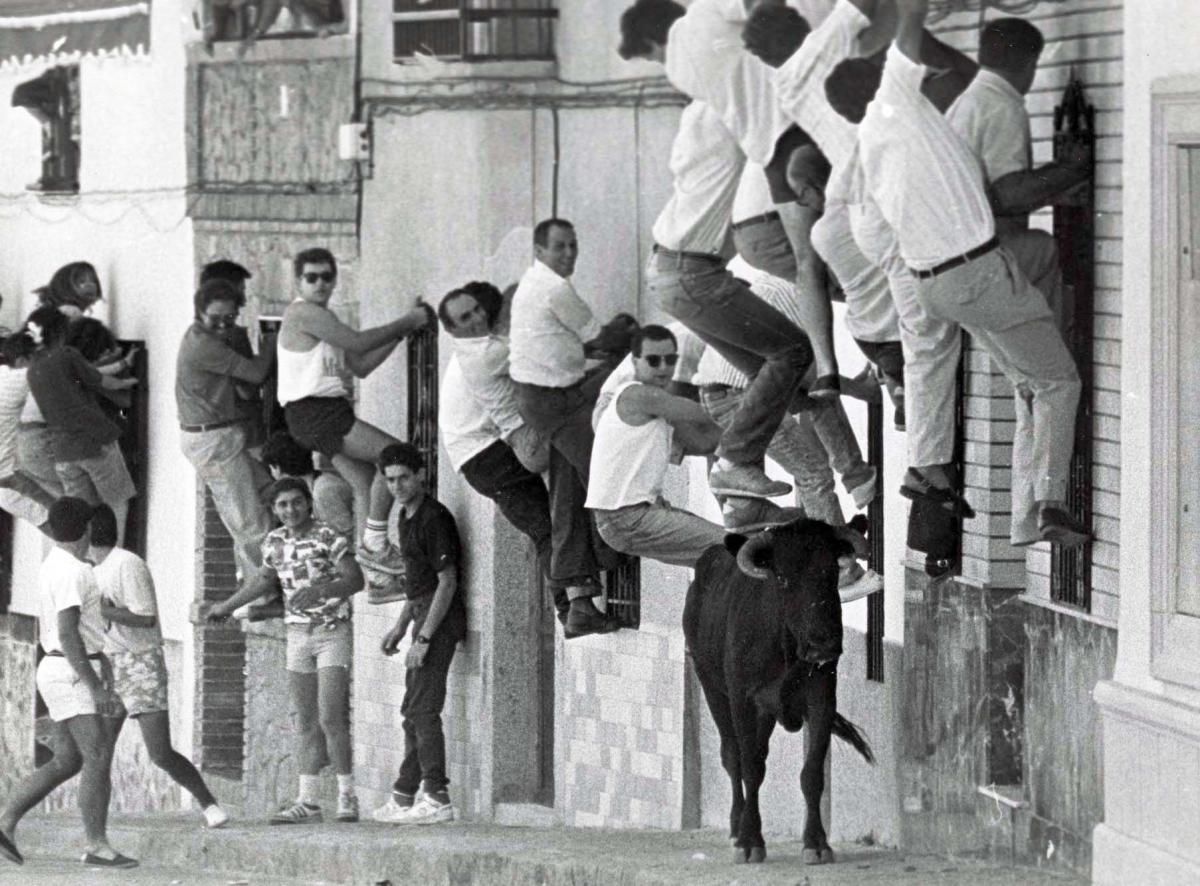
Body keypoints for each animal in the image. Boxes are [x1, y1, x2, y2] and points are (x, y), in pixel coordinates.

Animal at [686, 513, 873, 859]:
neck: (786, 646)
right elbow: (749, 767)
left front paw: (816, 843)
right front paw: (749, 841)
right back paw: (737, 827)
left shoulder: (822, 698)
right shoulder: (743, 700)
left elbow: (812, 773)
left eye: (831, 572)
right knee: (733, 755)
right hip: (712, 687)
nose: (823, 644)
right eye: (783, 580)